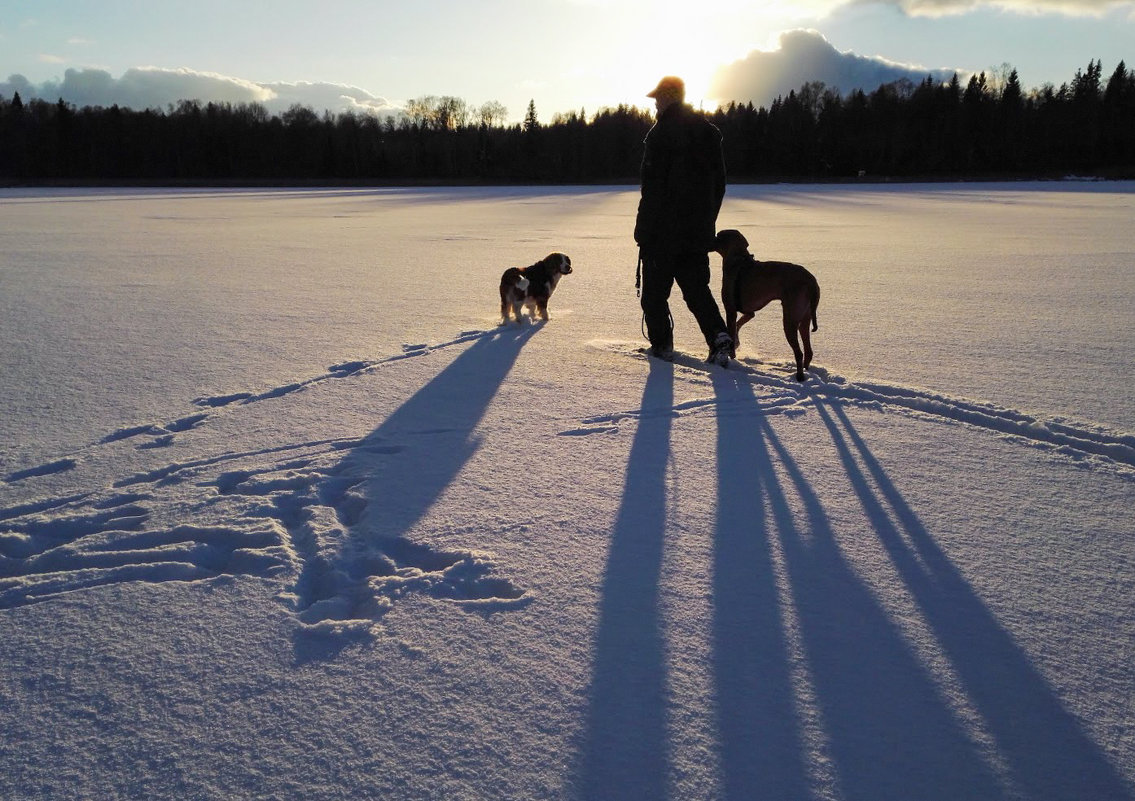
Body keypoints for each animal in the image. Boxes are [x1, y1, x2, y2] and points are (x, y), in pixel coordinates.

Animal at [712, 228, 821, 381]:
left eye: (718, 236)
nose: (709, 239)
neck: (738, 260)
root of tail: (811, 281)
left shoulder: (731, 311)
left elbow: (732, 331)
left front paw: (732, 355)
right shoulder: (750, 312)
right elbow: (738, 325)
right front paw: (737, 342)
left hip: (790, 320)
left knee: (799, 353)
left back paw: (799, 377)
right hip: (805, 317)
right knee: (808, 350)